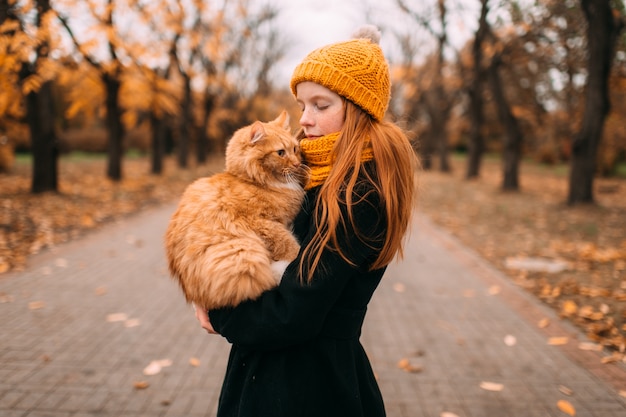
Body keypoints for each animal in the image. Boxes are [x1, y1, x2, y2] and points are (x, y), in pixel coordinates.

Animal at [163, 110, 304, 308]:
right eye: (281, 153)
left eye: (295, 149)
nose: (297, 164)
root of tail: (193, 294)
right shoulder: (262, 223)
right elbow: (288, 245)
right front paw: (294, 255)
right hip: (244, 254)